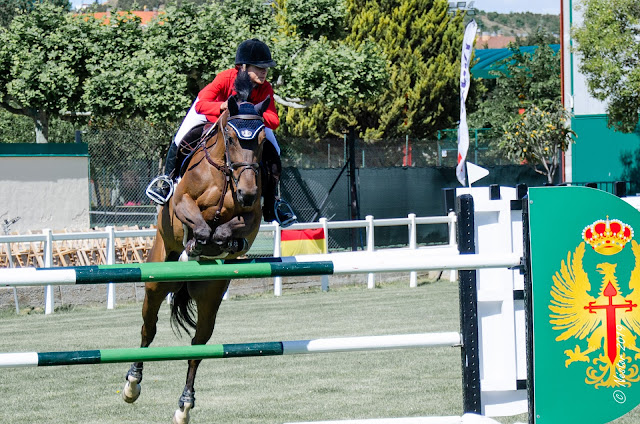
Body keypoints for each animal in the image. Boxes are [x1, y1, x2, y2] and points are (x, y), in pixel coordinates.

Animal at [123, 84, 270, 422]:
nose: (247, 192)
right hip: (155, 282)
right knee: (148, 330)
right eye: (231, 138)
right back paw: (132, 383)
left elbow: (236, 228)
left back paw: (185, 405)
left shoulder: (252, 216)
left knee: (197, 346)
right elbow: (197, 221)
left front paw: (222, 242)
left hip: (210, 297)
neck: (225, 175)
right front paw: (200, 241)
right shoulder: (181, 204)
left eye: (260, 142)